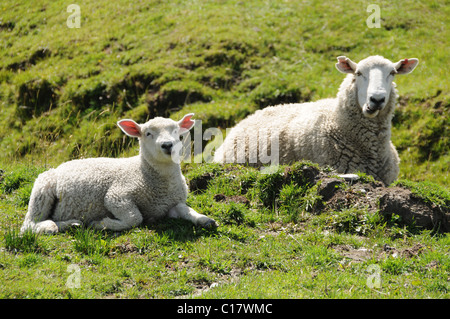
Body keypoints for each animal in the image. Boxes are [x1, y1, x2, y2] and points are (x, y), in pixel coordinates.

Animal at [21, 114, 218, 234]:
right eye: (148, 133)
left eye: (177, 132)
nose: (168, 145)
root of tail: (60, 166)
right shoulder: (117, 196)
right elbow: (134, 218)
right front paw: (101, 224)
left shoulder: (172, 203)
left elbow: (187, 210)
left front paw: (205, 220)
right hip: (42, 189)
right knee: (28, 225)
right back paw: (54, 226)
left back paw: (73, 224)